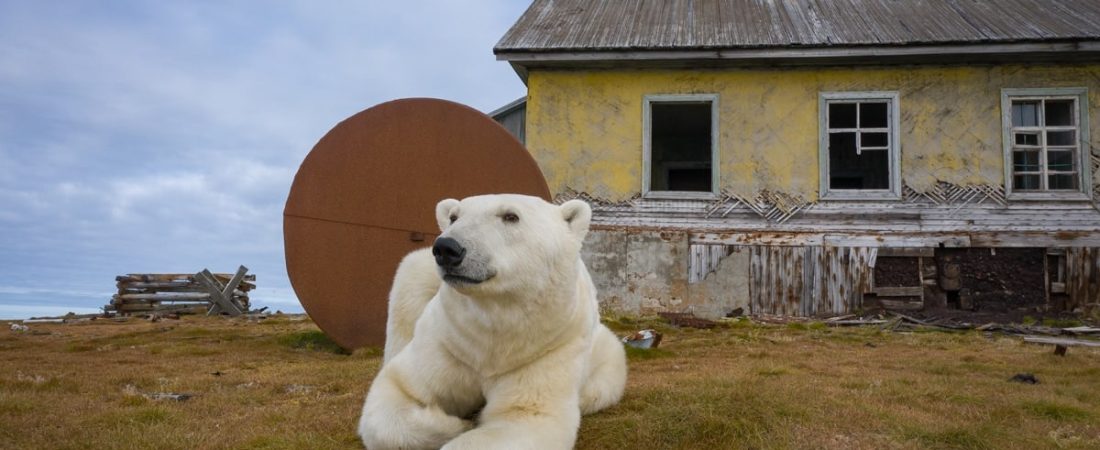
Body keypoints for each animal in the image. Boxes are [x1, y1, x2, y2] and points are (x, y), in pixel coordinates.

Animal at [360, 193, 629, 448]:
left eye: (511, 216)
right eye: (454, 216)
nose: (447, 248)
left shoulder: (546, 348)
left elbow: (526, 414)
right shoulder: (448, 341)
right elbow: (398, 389)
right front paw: (455, 424)